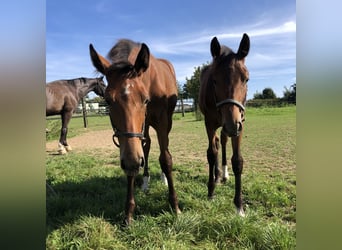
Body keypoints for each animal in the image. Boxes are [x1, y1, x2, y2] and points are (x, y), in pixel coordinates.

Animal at [89, 39, 182, 225]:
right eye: (107, 101)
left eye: (145, 99)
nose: (132, 162)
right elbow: (134, 164)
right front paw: (129, 213)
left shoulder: (162, 121)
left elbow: (166, 158)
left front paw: (175, 206)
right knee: (146, 147)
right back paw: (145, 183)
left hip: (164, 123)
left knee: (163, 147)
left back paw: (163, 178)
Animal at [199, 33, 250, 217]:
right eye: (214, 80)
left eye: (246, 79)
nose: (232, 125)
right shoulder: (209, 123)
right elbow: (211, 153)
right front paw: (211, 191)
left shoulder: (240, 123)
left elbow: (237, 160)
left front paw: (239, 206)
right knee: (216, 144)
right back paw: (216, 176)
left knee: (223, 140)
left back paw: (223, 174)